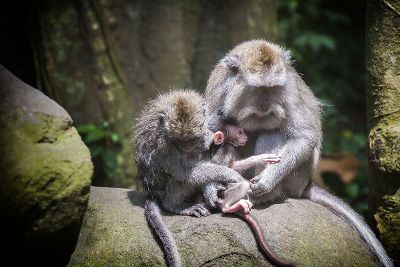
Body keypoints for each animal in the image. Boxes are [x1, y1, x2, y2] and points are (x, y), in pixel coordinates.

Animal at [131, 90, 244, 267]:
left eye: (191, 138)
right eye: (179, 140)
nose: (186, 147)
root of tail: (151, 192)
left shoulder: (204, 134)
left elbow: (206, 148)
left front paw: (210, 188)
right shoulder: (165, 144)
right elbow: (183, 172)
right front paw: (228, 173)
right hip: (162, 190)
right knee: (177, 179)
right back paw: (174, 205)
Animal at [205, 39, 392, 267]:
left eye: (273, 89)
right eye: (258, 89)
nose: (265, 105)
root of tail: (306, 184)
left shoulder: (290, 91)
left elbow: (304, 136)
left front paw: (269, 179)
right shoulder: (218, 88)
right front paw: (209, 189)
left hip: (298, 177)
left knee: (273, 131)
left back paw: (265, 195)